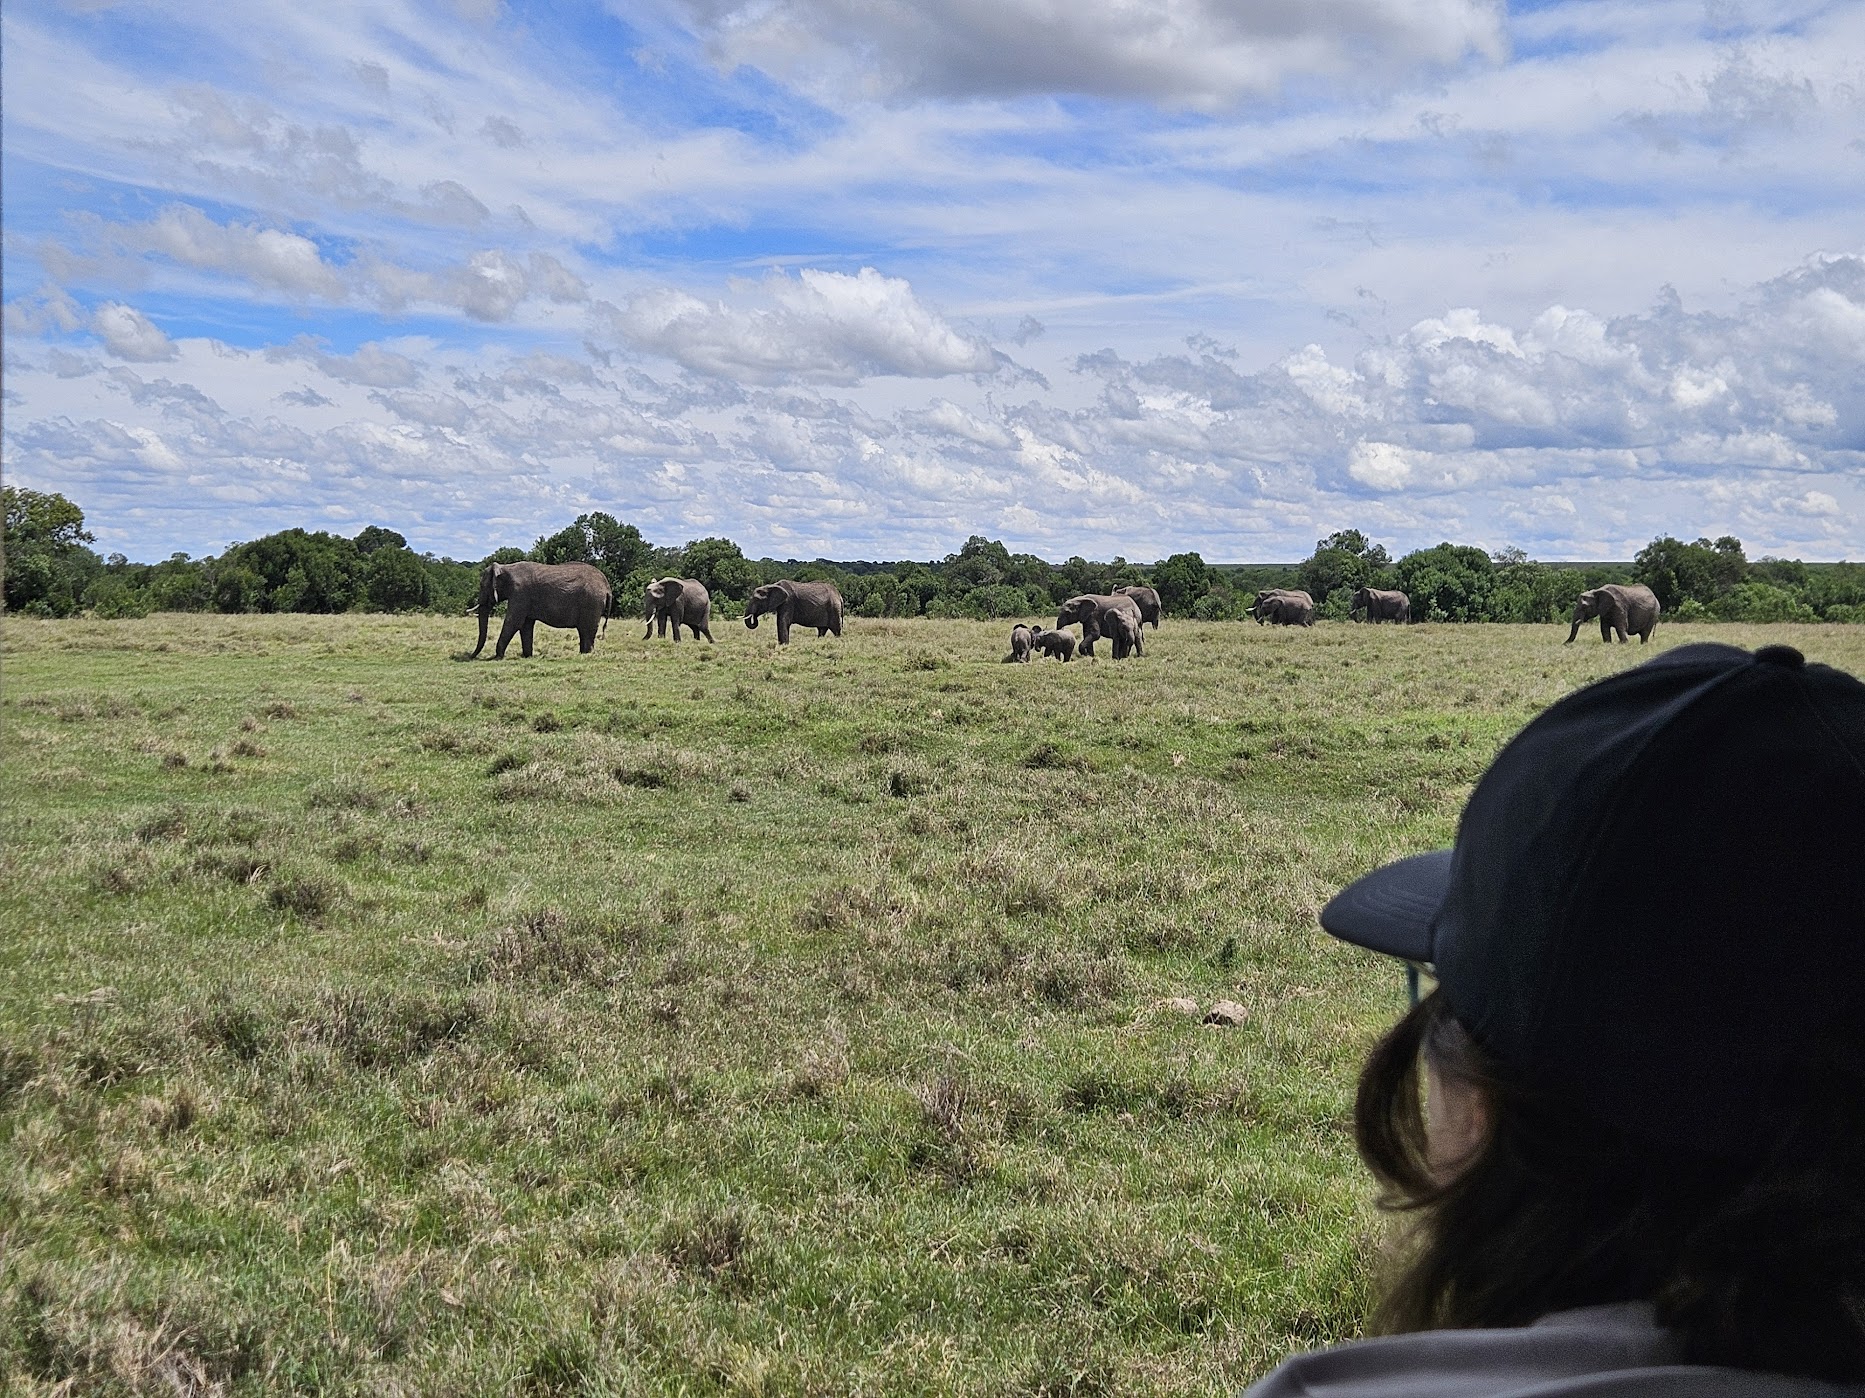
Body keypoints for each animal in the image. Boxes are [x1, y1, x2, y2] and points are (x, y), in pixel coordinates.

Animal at [468, 561, 612, 658]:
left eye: (482, 586)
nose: (470, 656)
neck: (506, 567)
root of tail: (607, 587)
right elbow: (525, 625)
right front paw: (527, 656)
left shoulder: (520, 593)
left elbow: (514, 622)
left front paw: (497, 657)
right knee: (584, 632)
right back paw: (582, 654)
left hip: (591, 603)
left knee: (587, 631)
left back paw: (586, 655)